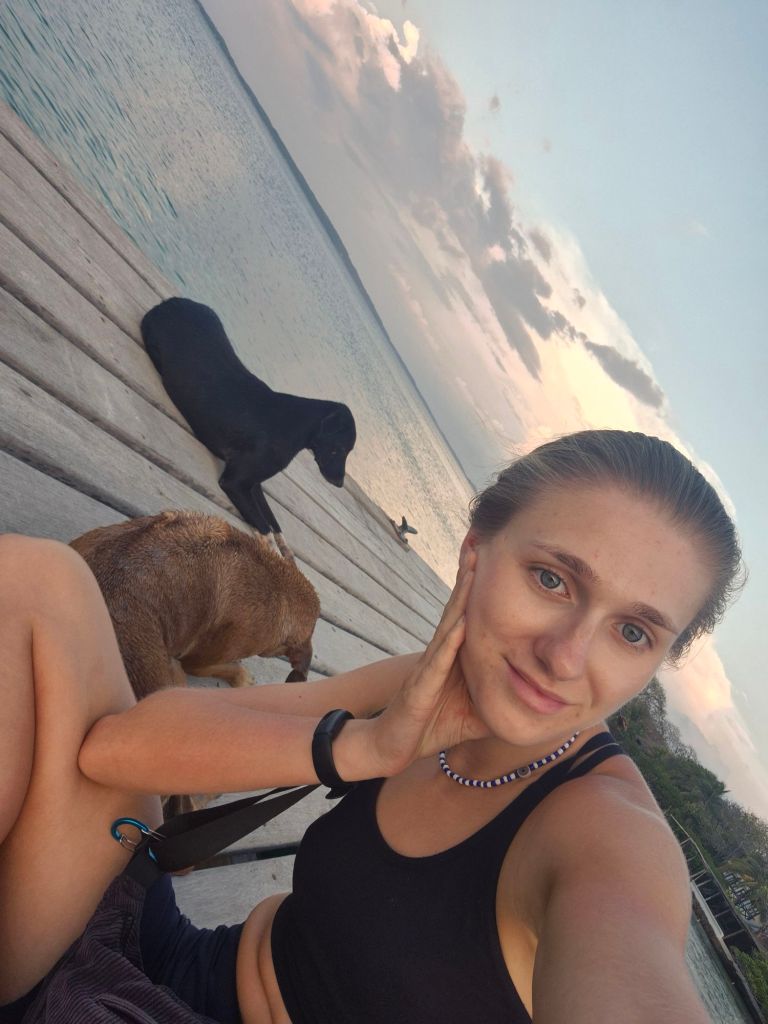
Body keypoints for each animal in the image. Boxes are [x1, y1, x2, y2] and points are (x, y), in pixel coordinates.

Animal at [140, 298, 357, 552]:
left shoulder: (254, 484)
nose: (340, 484)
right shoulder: (234, 482)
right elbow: (266, 531)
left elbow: (277, 528)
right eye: (339, 449)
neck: (291, 425)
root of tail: (170, 301)